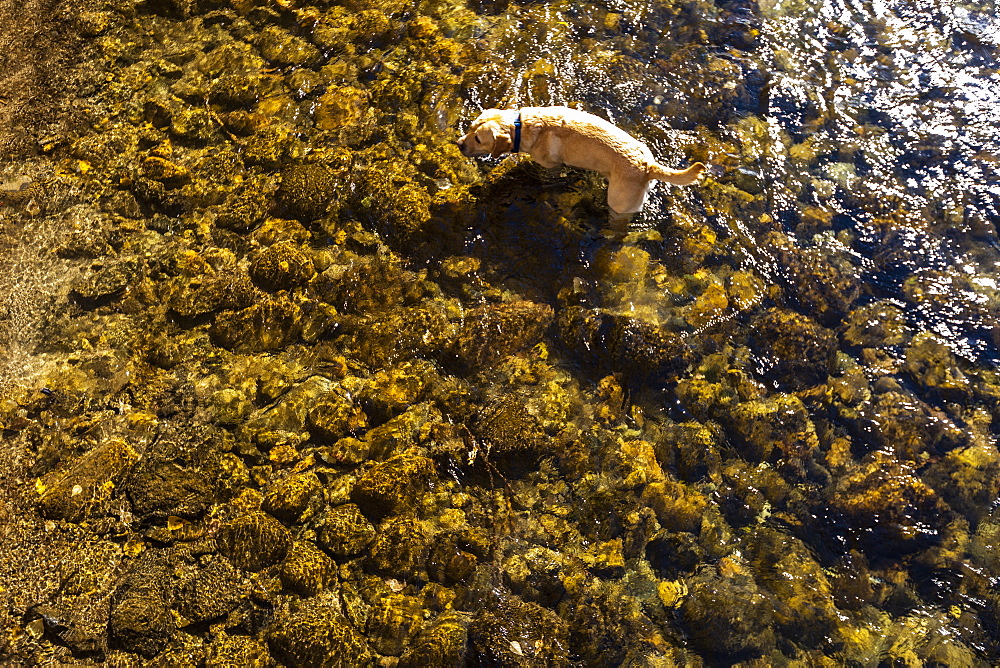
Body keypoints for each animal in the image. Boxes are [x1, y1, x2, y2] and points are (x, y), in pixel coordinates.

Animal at [458, 106, 708, 217]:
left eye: (478, 139)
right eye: (470, 127)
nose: (459, 143)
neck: (522, 125)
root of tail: (647, 166)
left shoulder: (550, 166)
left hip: (619, 203)